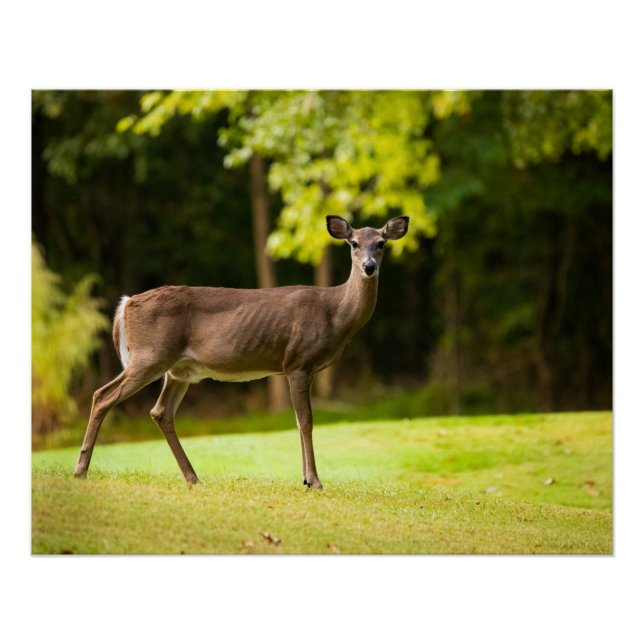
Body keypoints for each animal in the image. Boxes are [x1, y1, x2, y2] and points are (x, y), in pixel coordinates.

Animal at [74, 215, 409, 489]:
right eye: (353, 243)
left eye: (381, 243)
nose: (369, 267)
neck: (336, 313)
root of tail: (127, 303)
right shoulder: (298, 361)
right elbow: (307, 421)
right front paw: (314, 481)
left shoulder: (301, 368)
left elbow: (297, 421)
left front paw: (303, 478)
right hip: (150, 355)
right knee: (102, 396)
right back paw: (80, 470)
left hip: (178, 369)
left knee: (160, 412)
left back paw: (193, 477)